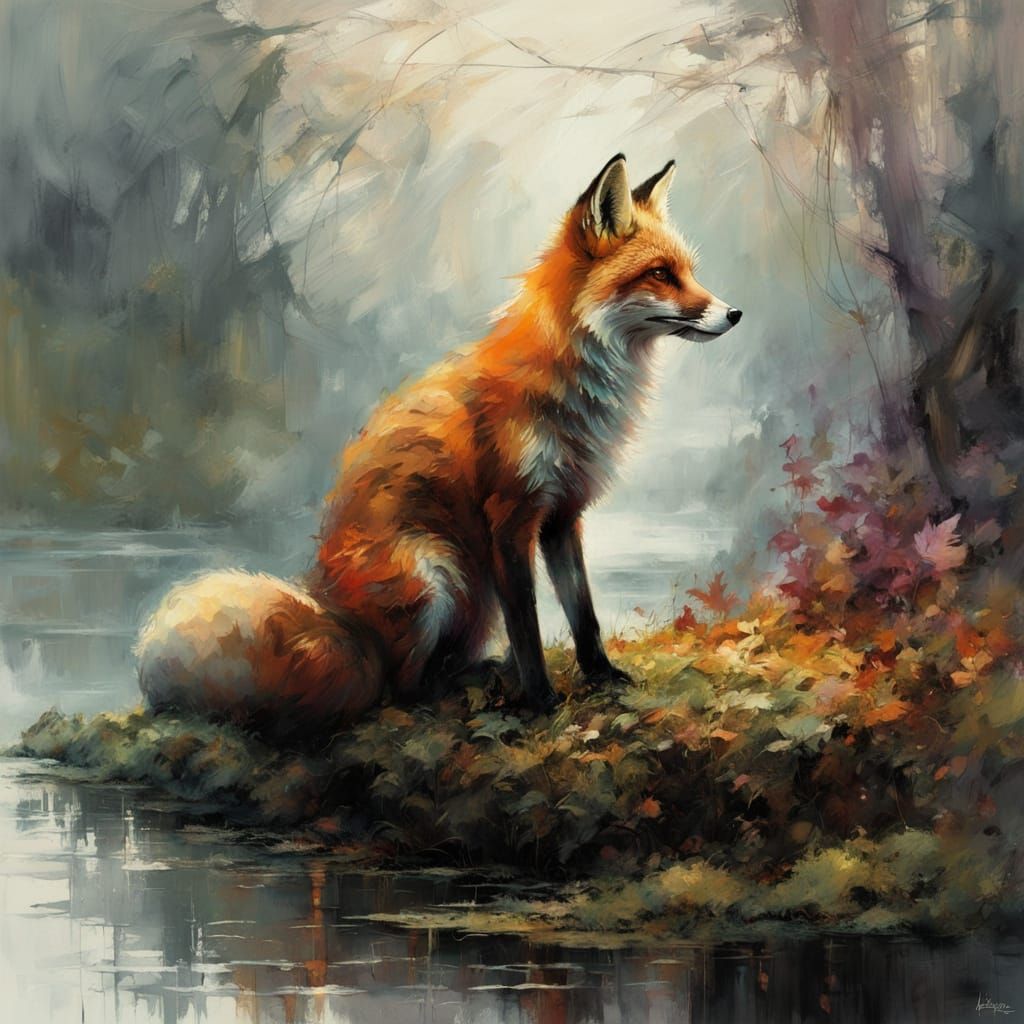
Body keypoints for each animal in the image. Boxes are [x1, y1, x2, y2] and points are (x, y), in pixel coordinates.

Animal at [137, 154, 743, 744]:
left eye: (689, 271)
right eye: (661, 274)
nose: (734, 314)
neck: (572, 384)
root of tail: (339, 619)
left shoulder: (562, 514)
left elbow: (584, 613)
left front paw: (601, 676)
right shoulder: (509, 518)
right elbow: (528, 627)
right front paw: (542, 702)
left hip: (470, 595)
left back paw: (478, 673)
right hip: (433, 572)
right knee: (396, 690)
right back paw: (451, 692)